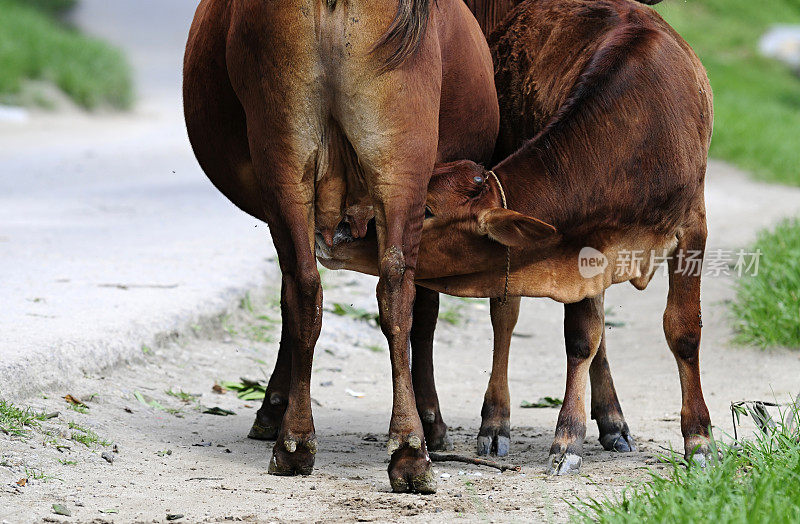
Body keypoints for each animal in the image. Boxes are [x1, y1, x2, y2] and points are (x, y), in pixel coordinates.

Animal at [186, 0, 500, 494]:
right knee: (395, 291)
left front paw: (273, 407)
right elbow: (427, 310)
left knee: (312, 288)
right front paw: (434, 422)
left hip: (292, 156)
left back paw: (299, 441)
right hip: (397, 161)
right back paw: (410, 447)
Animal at [322, 0, 716, 474]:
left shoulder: (693, 227)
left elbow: (683, 331)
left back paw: (613, 422)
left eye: (429, 210)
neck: (638, 135)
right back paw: (498, 421)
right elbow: (581, 336)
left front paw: (699, 439)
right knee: (507, 317)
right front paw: (567, 437)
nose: (341, 230)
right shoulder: (579, 245)